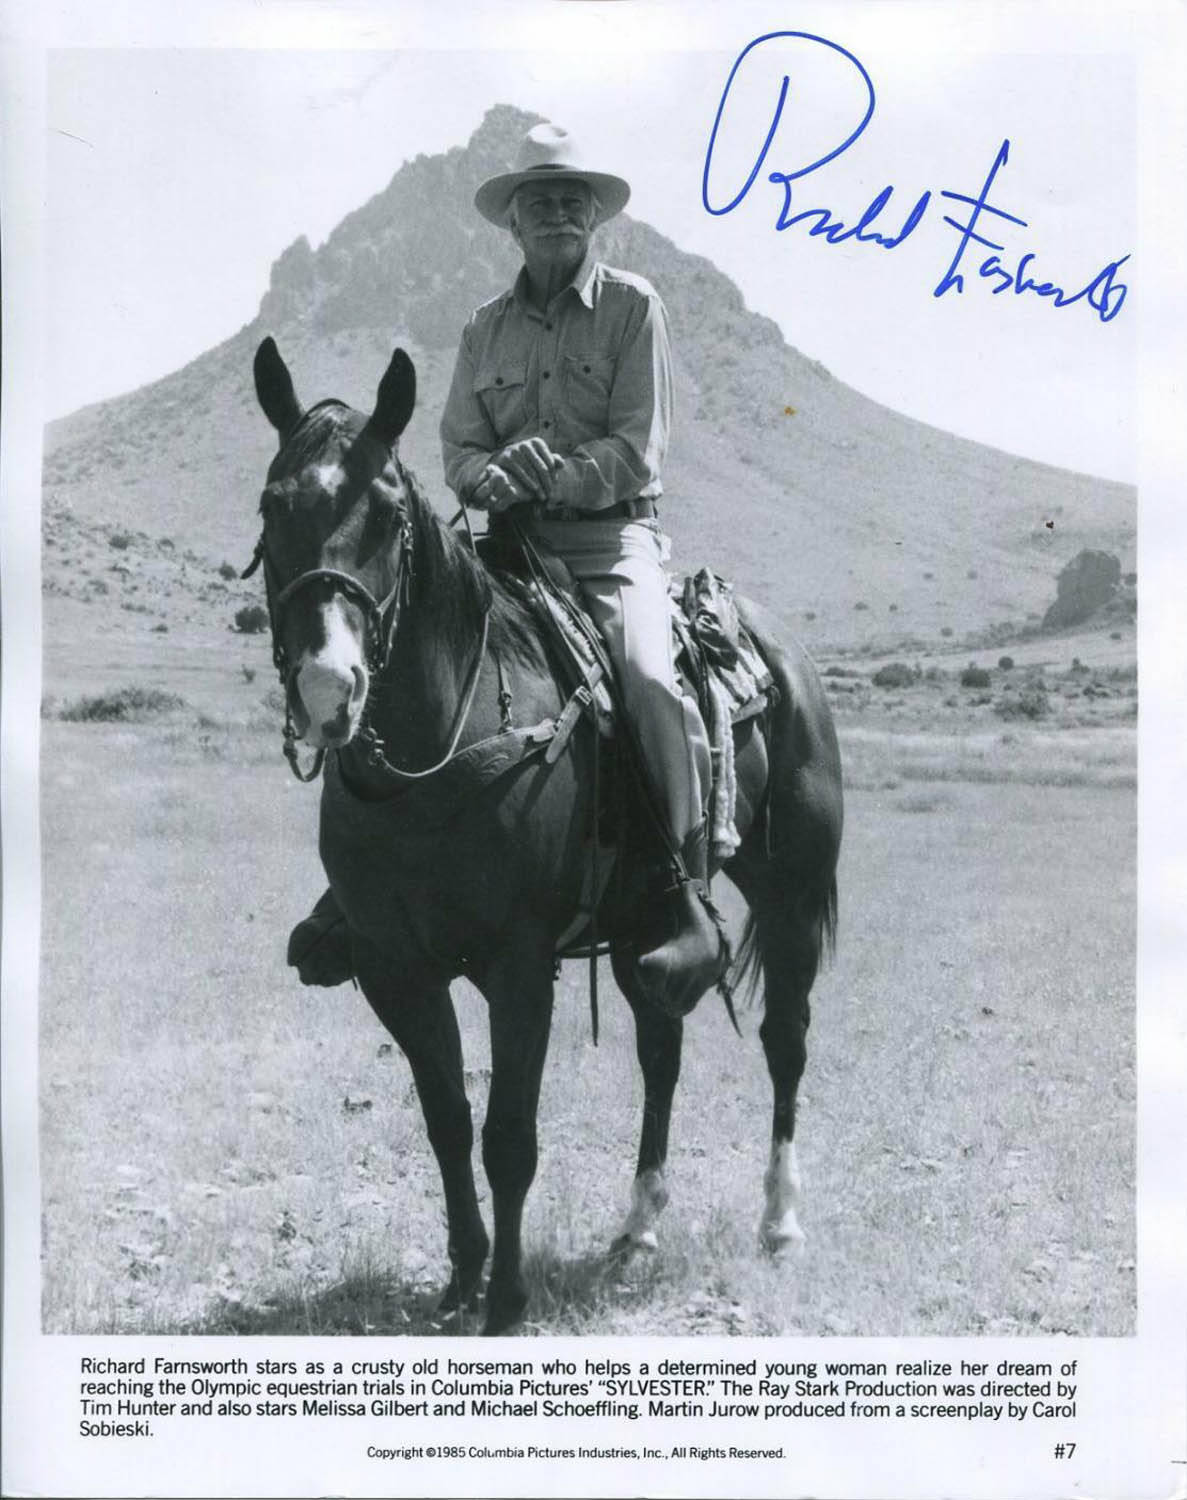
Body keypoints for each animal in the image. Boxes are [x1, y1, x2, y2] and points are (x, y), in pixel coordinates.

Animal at [250, 340, 846, 1338]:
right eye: (272, 504)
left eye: (387, 513)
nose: (330, 687)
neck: (437, 752)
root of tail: (782, 655)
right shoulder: (395, 968)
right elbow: (447, 1120)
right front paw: (460, 1280)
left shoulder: (518, 965)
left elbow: (509, 1138)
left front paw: (505, 1301)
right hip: (647, 931)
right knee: (660, 1047)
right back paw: (637, 1231)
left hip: (790, 894)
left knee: (784, 1038)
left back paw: (781, 1221)